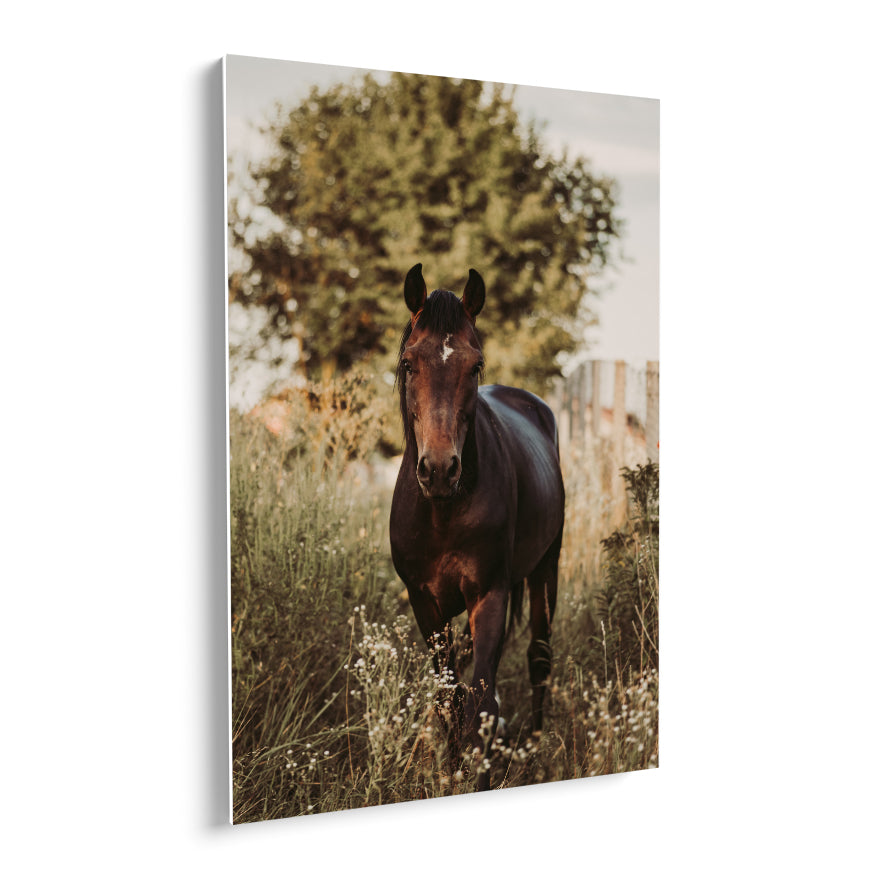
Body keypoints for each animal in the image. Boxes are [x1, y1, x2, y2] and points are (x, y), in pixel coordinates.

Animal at [389, 263, 565, 791]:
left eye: (475, 365)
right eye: (409, 364)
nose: (440, 470)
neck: (443, 511)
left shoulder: (490, 595)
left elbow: (482, 706)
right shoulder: (425, 605)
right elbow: (449, 700)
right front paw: (449, 774)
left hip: (545, 570)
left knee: (539, 659)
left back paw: (535, 748)